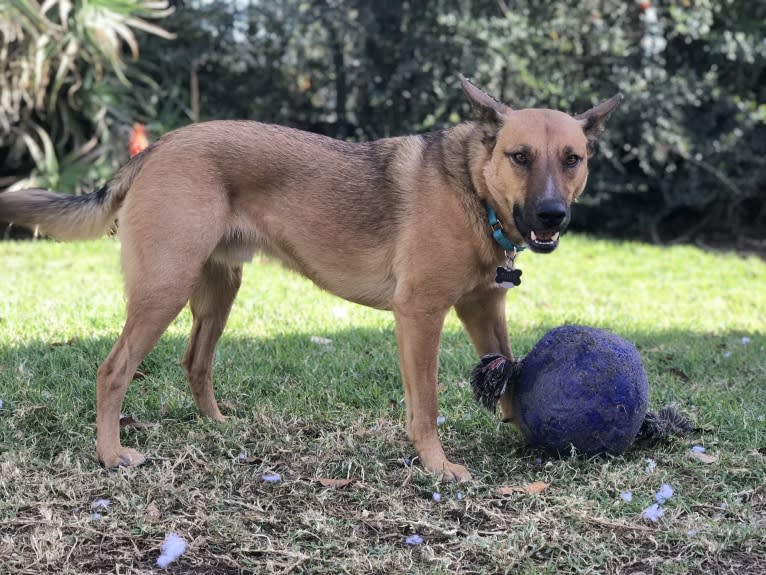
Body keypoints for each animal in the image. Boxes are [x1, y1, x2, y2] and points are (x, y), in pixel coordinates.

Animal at [0, 76, 624, 482]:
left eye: (572, 159)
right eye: (520, 157)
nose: (552, 216)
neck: (471, 187)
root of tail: (157, 147)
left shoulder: (484, 308)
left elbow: (511, 373)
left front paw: (524, 422)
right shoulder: (420, 314)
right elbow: (425, 404)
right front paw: (438, 466)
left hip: (218, 291)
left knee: (195, 361)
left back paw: (217, 425)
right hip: (164, 290)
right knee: (113, 371)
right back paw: (111, 455)